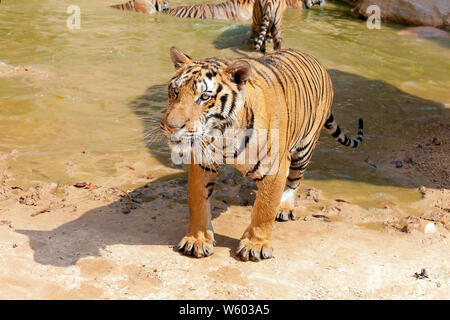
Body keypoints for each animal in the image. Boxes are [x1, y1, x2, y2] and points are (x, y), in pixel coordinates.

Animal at [160, 47, 364, 262]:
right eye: (175, 91)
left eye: (205, 97)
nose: (170, 127)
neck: (223, 134)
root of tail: (314, 59)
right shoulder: (202, 162)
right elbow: (198, 202)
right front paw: (197, 240)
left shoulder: (274, 168)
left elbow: (264, 210)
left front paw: (254, 245)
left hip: (304, 148)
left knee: (293, 180)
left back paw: (284, 208)